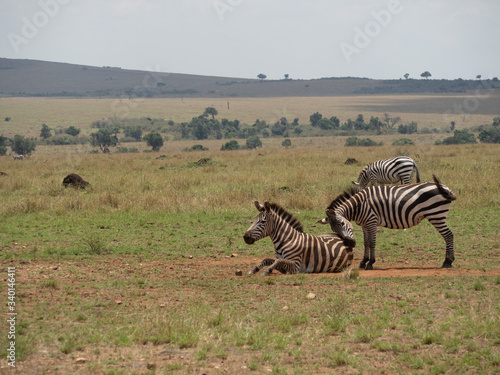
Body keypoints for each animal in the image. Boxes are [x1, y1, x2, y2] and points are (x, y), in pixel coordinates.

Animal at [320, 176, 458, 270]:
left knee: (448, 235)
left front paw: (370, 263)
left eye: (342, 223)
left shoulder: (371, 221)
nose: (350, 244)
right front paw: (363, 262)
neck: (359, 205)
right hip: (437, 215)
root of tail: (446, 188)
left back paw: (448, 261)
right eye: (334, 230)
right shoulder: (364, 224)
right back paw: (448, 261)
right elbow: (366, 243)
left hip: (436, 214)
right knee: (448, 235)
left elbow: (372, 242)